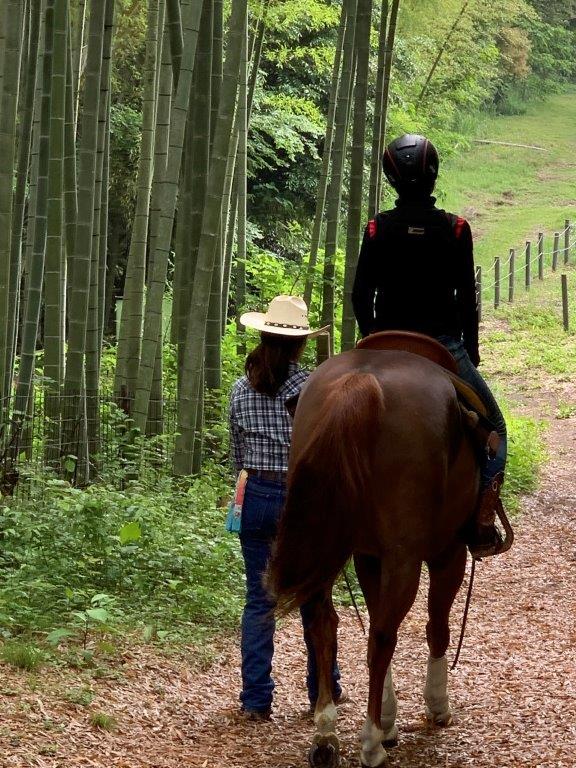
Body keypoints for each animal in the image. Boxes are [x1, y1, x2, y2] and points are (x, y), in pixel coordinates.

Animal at [268, 350, 480, 768]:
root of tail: (362, 380)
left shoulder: (368, 555)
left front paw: (388, 717)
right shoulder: (448, 551)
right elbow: (436, 627)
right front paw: (435, 706)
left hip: (326, 538)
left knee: (324, 624)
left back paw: (326, 734)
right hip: (404, 555)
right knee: (383, 636)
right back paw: (371, 744)